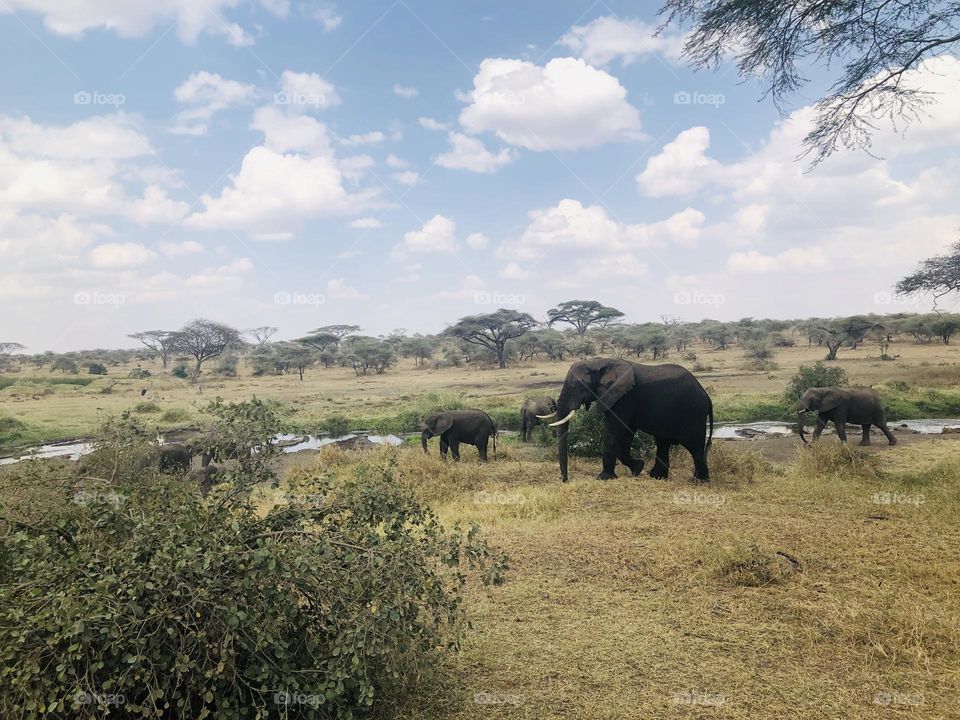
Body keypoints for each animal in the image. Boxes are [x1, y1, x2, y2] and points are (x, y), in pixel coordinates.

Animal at [540, 356, 712, 480]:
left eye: (579, 386)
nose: (564, 480)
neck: (600, 362)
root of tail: (706, 396)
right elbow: (626, 435)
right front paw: (637, 469)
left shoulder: (625, 397)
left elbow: (614, 432)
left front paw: (604, 478)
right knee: (663, 443)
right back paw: (656, 477)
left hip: (694, 414)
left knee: (695, 446)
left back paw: (698, 481)